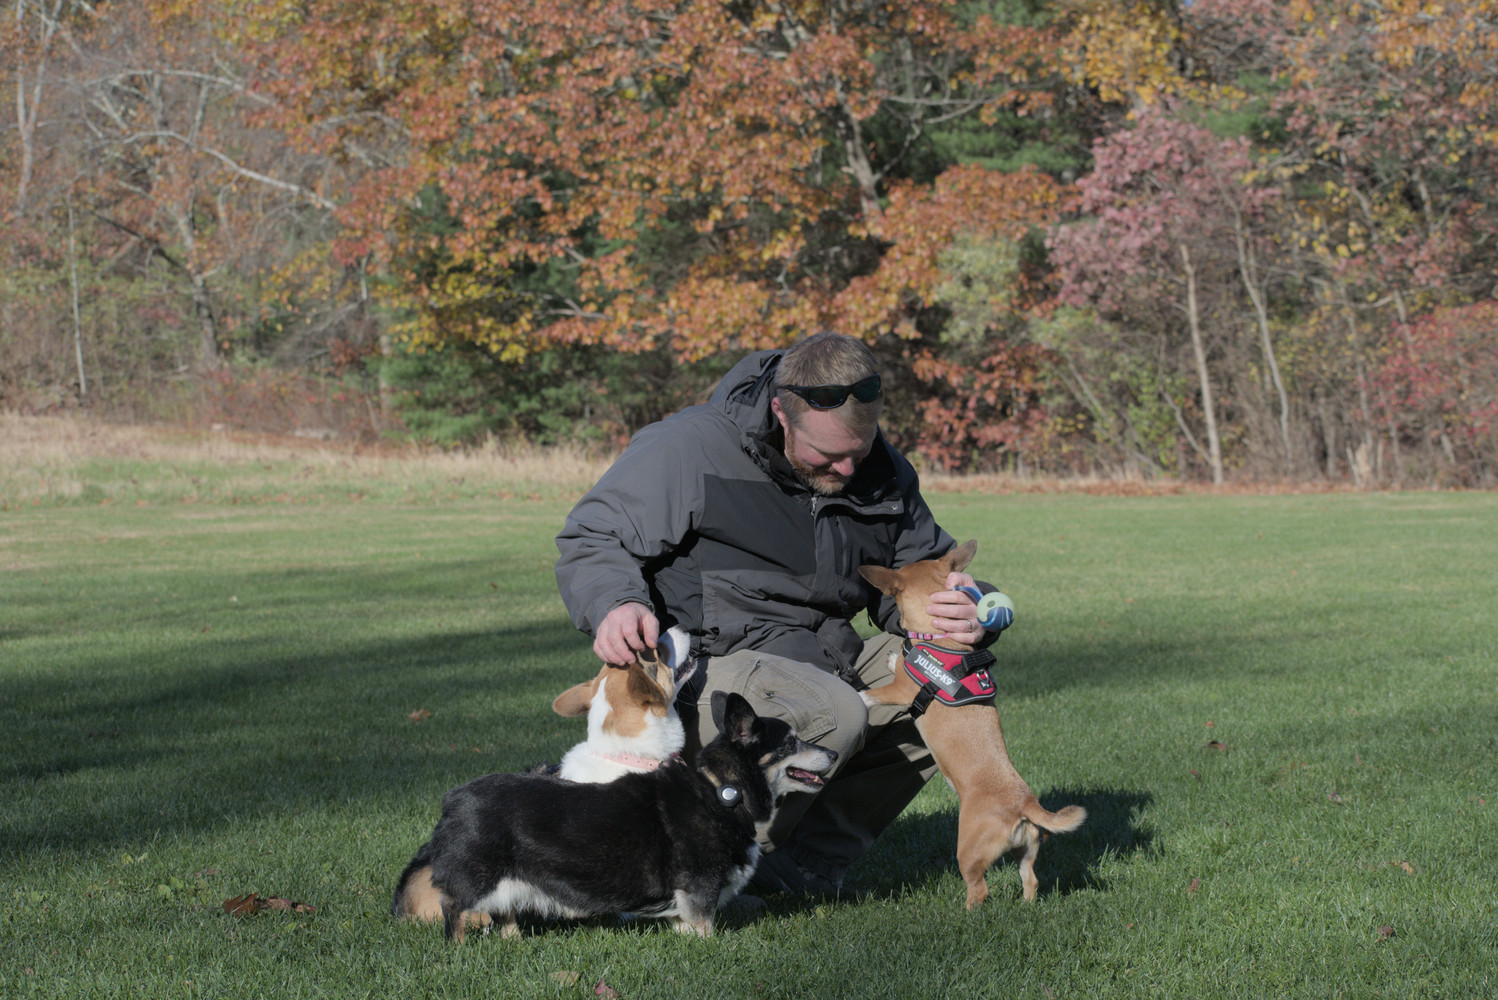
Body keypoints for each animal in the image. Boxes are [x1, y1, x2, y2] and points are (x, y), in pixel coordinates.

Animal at [390, 691, 836, 941]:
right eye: (792, 742)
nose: (832, 754)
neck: (722, 790)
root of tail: (452, 800)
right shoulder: (700, 886)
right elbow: (705, 928)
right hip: (479, 879)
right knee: (455, 911)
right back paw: (460, 951)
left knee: (505, 915)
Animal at [859, 540, 1085, 907]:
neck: (940, 635)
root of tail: (1023, 802)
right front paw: (894, 657)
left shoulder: (901, 691)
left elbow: (876, 693)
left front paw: (860, 694)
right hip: (1026, 850)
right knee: (1031, 879)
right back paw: (1026, 907)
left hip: (969, 851)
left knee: (979, 888)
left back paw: (967, 912)